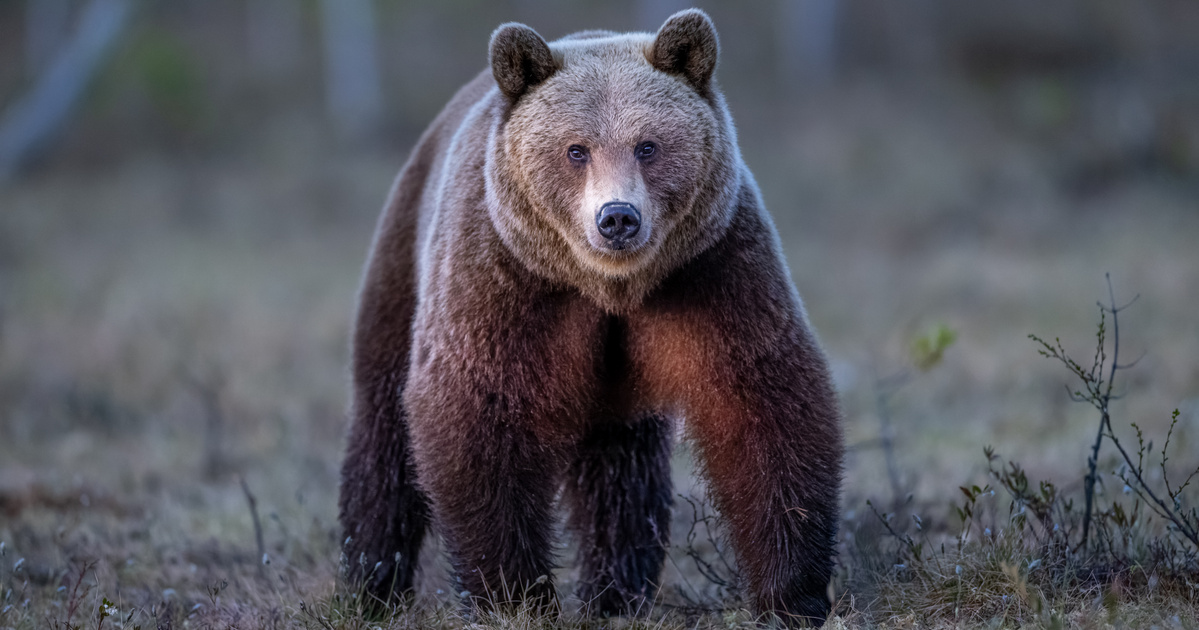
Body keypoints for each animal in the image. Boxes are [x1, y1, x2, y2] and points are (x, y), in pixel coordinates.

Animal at [338, 8, 844, 624]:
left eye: (647, 145)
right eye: (576, 150)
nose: (617, 217)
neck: (607, 287)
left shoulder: (712, 270)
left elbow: (760, 400)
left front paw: (794, 593)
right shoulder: (502, 279)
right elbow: (476, 410)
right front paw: (513, 594)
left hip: (617, 385)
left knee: (621, 471)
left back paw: (618, 591)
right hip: (402, 262)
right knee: (382, 432)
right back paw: (370, 584)